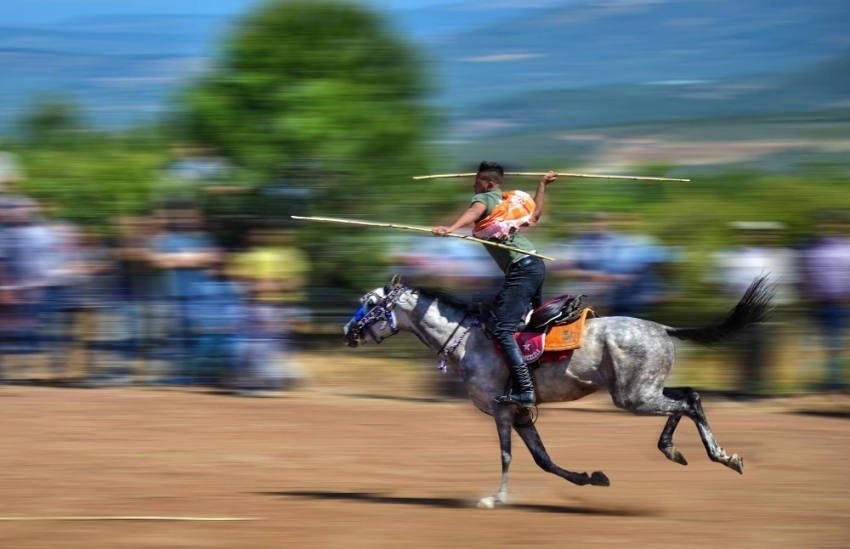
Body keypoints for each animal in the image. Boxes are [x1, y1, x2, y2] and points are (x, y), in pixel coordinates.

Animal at [342, 272, 772, 508]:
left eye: (369, 302)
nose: (347, 332)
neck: (468, 340)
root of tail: (663, 329)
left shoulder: (502, 410)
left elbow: (507, 456)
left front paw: (495, 499)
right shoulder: (519, 414)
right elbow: (543, 459)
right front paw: (590, 478)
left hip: (633, 397)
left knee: (687, 404)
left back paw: (721, 456)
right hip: (645, 388)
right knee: (689, 397)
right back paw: (677, 450)